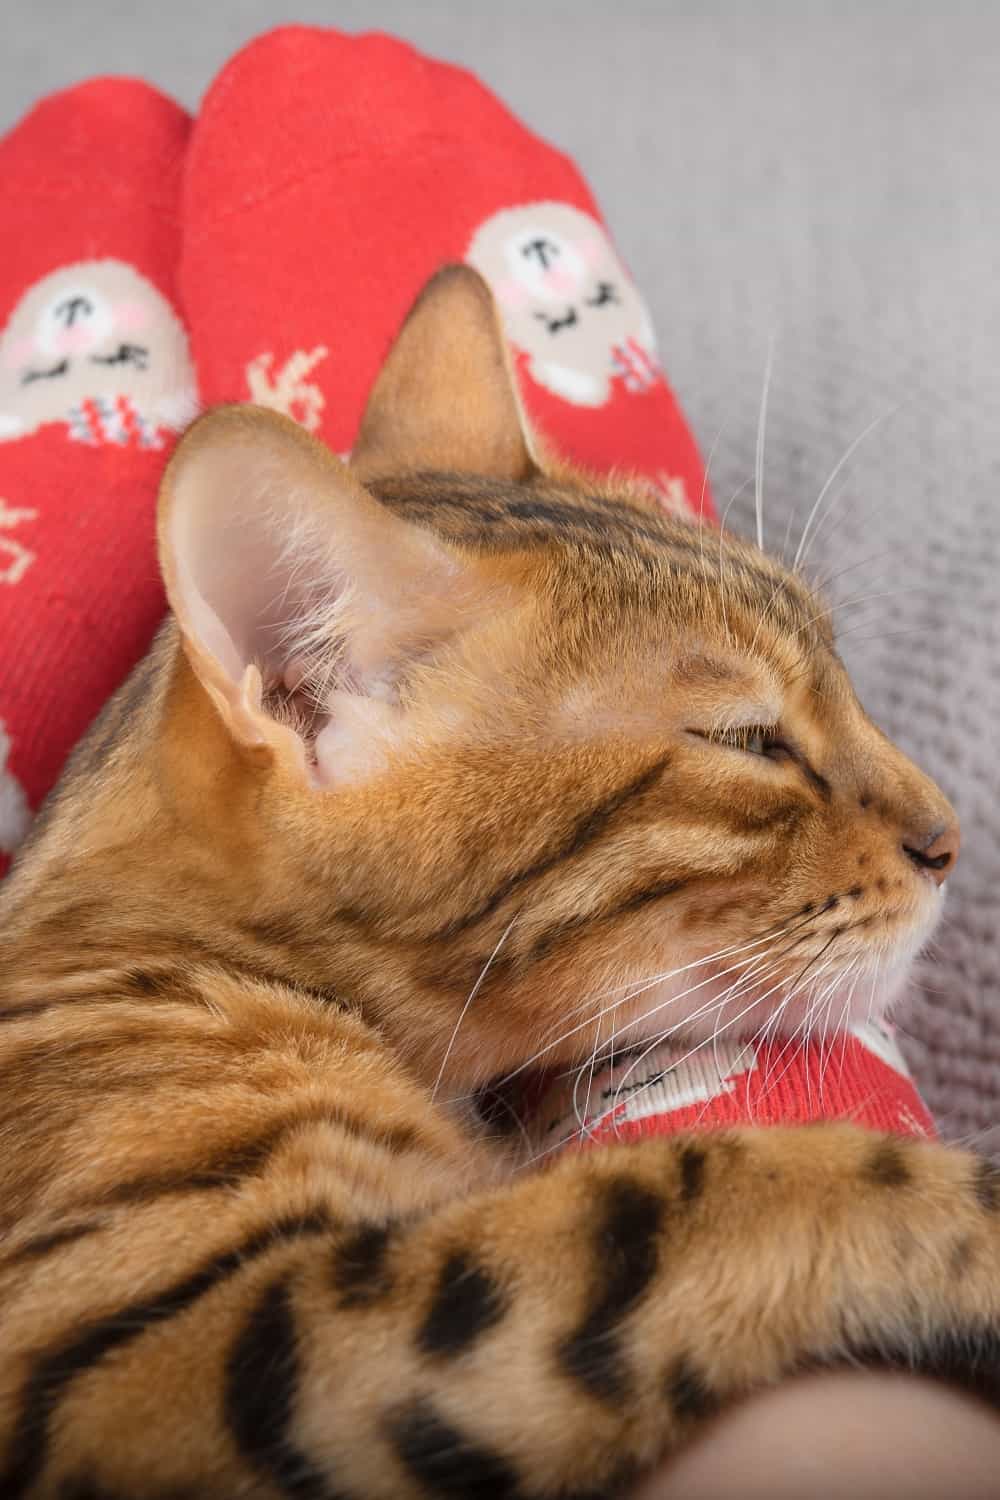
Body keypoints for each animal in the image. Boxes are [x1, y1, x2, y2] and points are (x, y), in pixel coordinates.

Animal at [0, 270, 995, 1500]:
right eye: (749, 739)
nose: (951, 838)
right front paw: (975, 1219)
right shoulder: (171, 1355)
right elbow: (692, 1193)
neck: (180, 952)